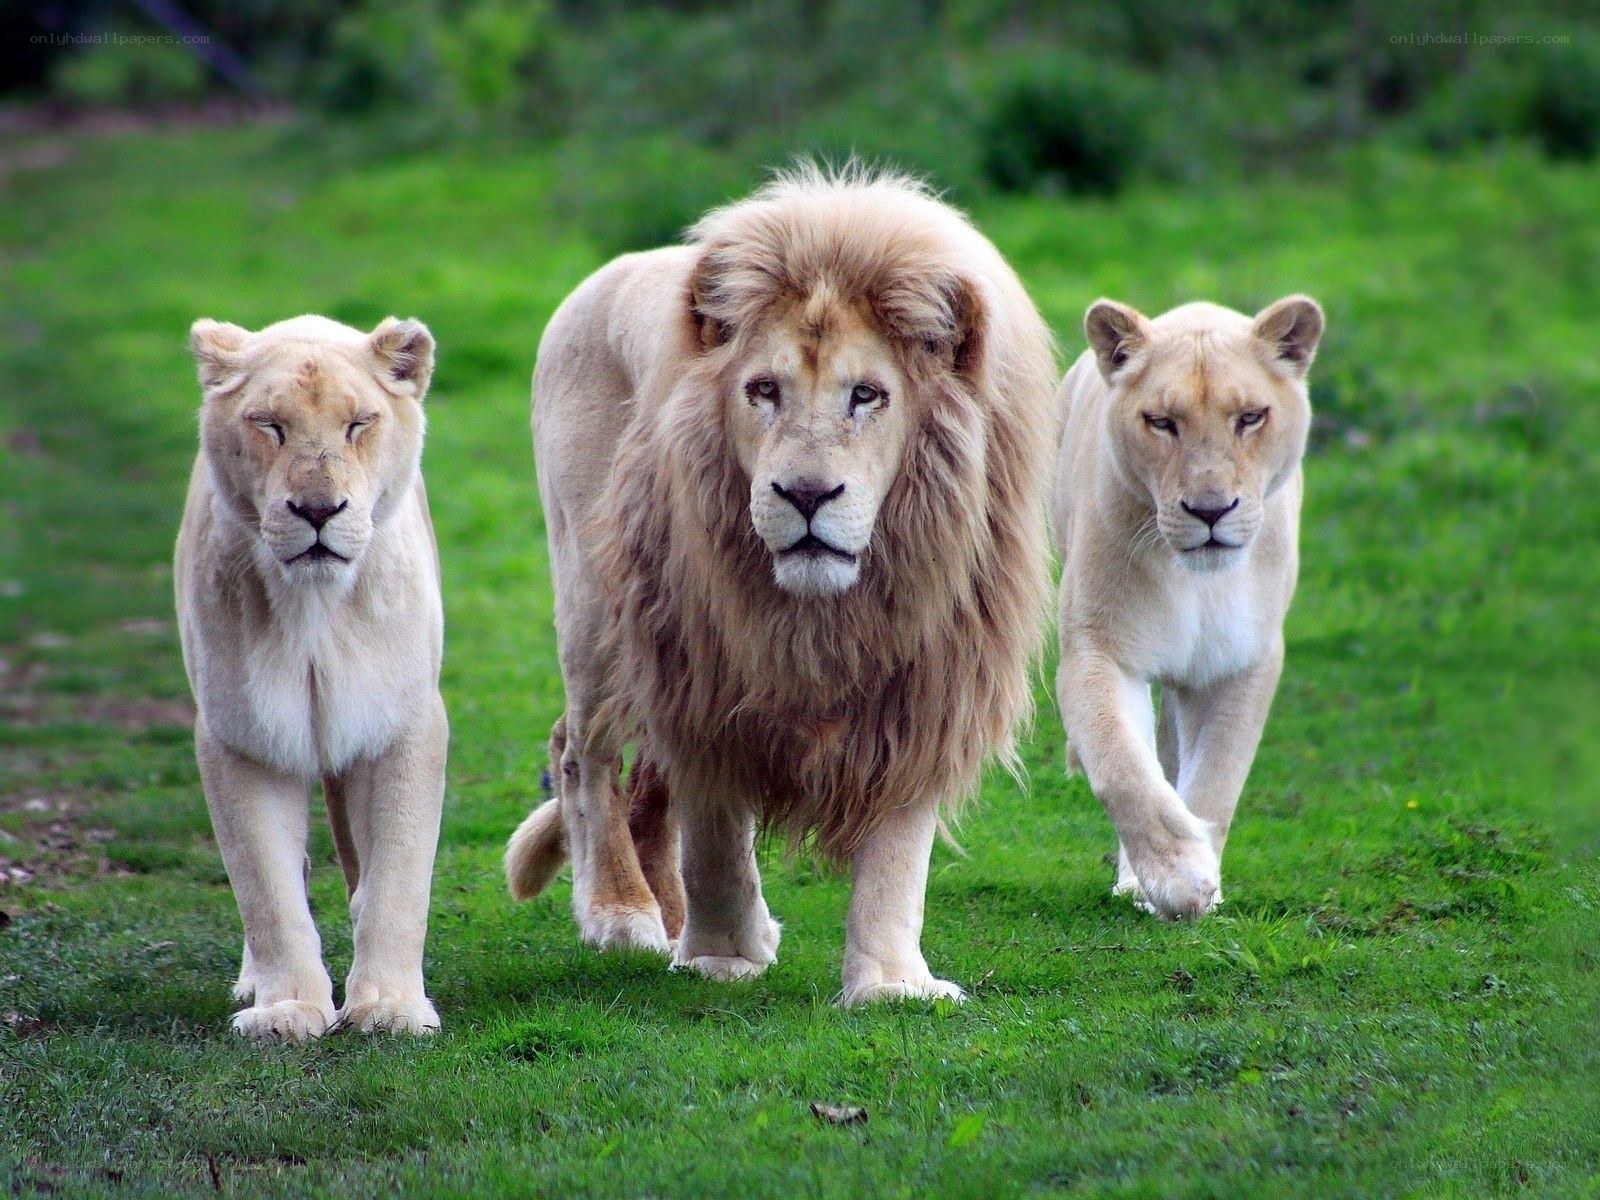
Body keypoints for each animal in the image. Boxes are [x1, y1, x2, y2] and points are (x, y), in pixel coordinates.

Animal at [176, 314, 447, 1041]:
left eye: (358, 424)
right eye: (270, 425)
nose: (319, 510)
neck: (315, 609)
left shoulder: (403, 726)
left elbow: (398, 876)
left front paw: (389, 1006)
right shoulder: (242, 736)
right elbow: (266, 887)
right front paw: (288, 1009)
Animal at [505, 167, 1057, 1004]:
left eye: (867, 394)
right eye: (763, 390)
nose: (804, 494)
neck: (825, 613)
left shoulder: (926, 681)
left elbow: (897, 851)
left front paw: (890, 984)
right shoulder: (701, 670)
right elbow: (716, 834)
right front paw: (722, 957)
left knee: (646, 782)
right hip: (598, 604)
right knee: (583, 754)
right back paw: (622, 912)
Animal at [1052, 295, 1324, 919]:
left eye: (1250, 417)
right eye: (1161, 422)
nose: (1210, 510)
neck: (1197, 583)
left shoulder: (1242, 663)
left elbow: (1217, 780)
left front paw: (1202, 881)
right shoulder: (1098, 652)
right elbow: (1123, 768)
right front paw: (1178, 878)